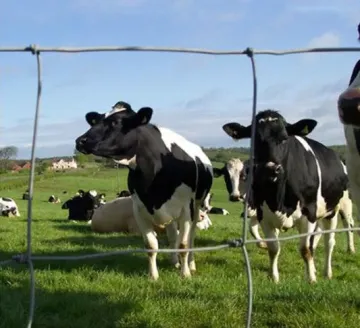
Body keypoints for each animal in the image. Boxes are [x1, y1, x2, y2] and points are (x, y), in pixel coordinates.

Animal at [74, 100, 212, 280]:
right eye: (96, 121)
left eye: (116, 122)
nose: (80, 141)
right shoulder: (139, 209)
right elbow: (151, 245)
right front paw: (153, 276)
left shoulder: (185, 209)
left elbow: (183, 244)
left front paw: (185, 274)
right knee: (172, 236)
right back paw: (174, 261)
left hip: (196, 206)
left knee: (191, 238)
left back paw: (191, 265)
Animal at [222, 109, 354, 284]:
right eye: (253, 141)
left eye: (284, 139)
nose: (270, 169)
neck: (279, 200)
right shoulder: (263, 215)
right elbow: (273, 248)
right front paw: (274, 276)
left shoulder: (308, 214)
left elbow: (305, 249)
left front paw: (311, 278)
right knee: (317, 237)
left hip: (335, 209)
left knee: (330, 240)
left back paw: (327, 271)